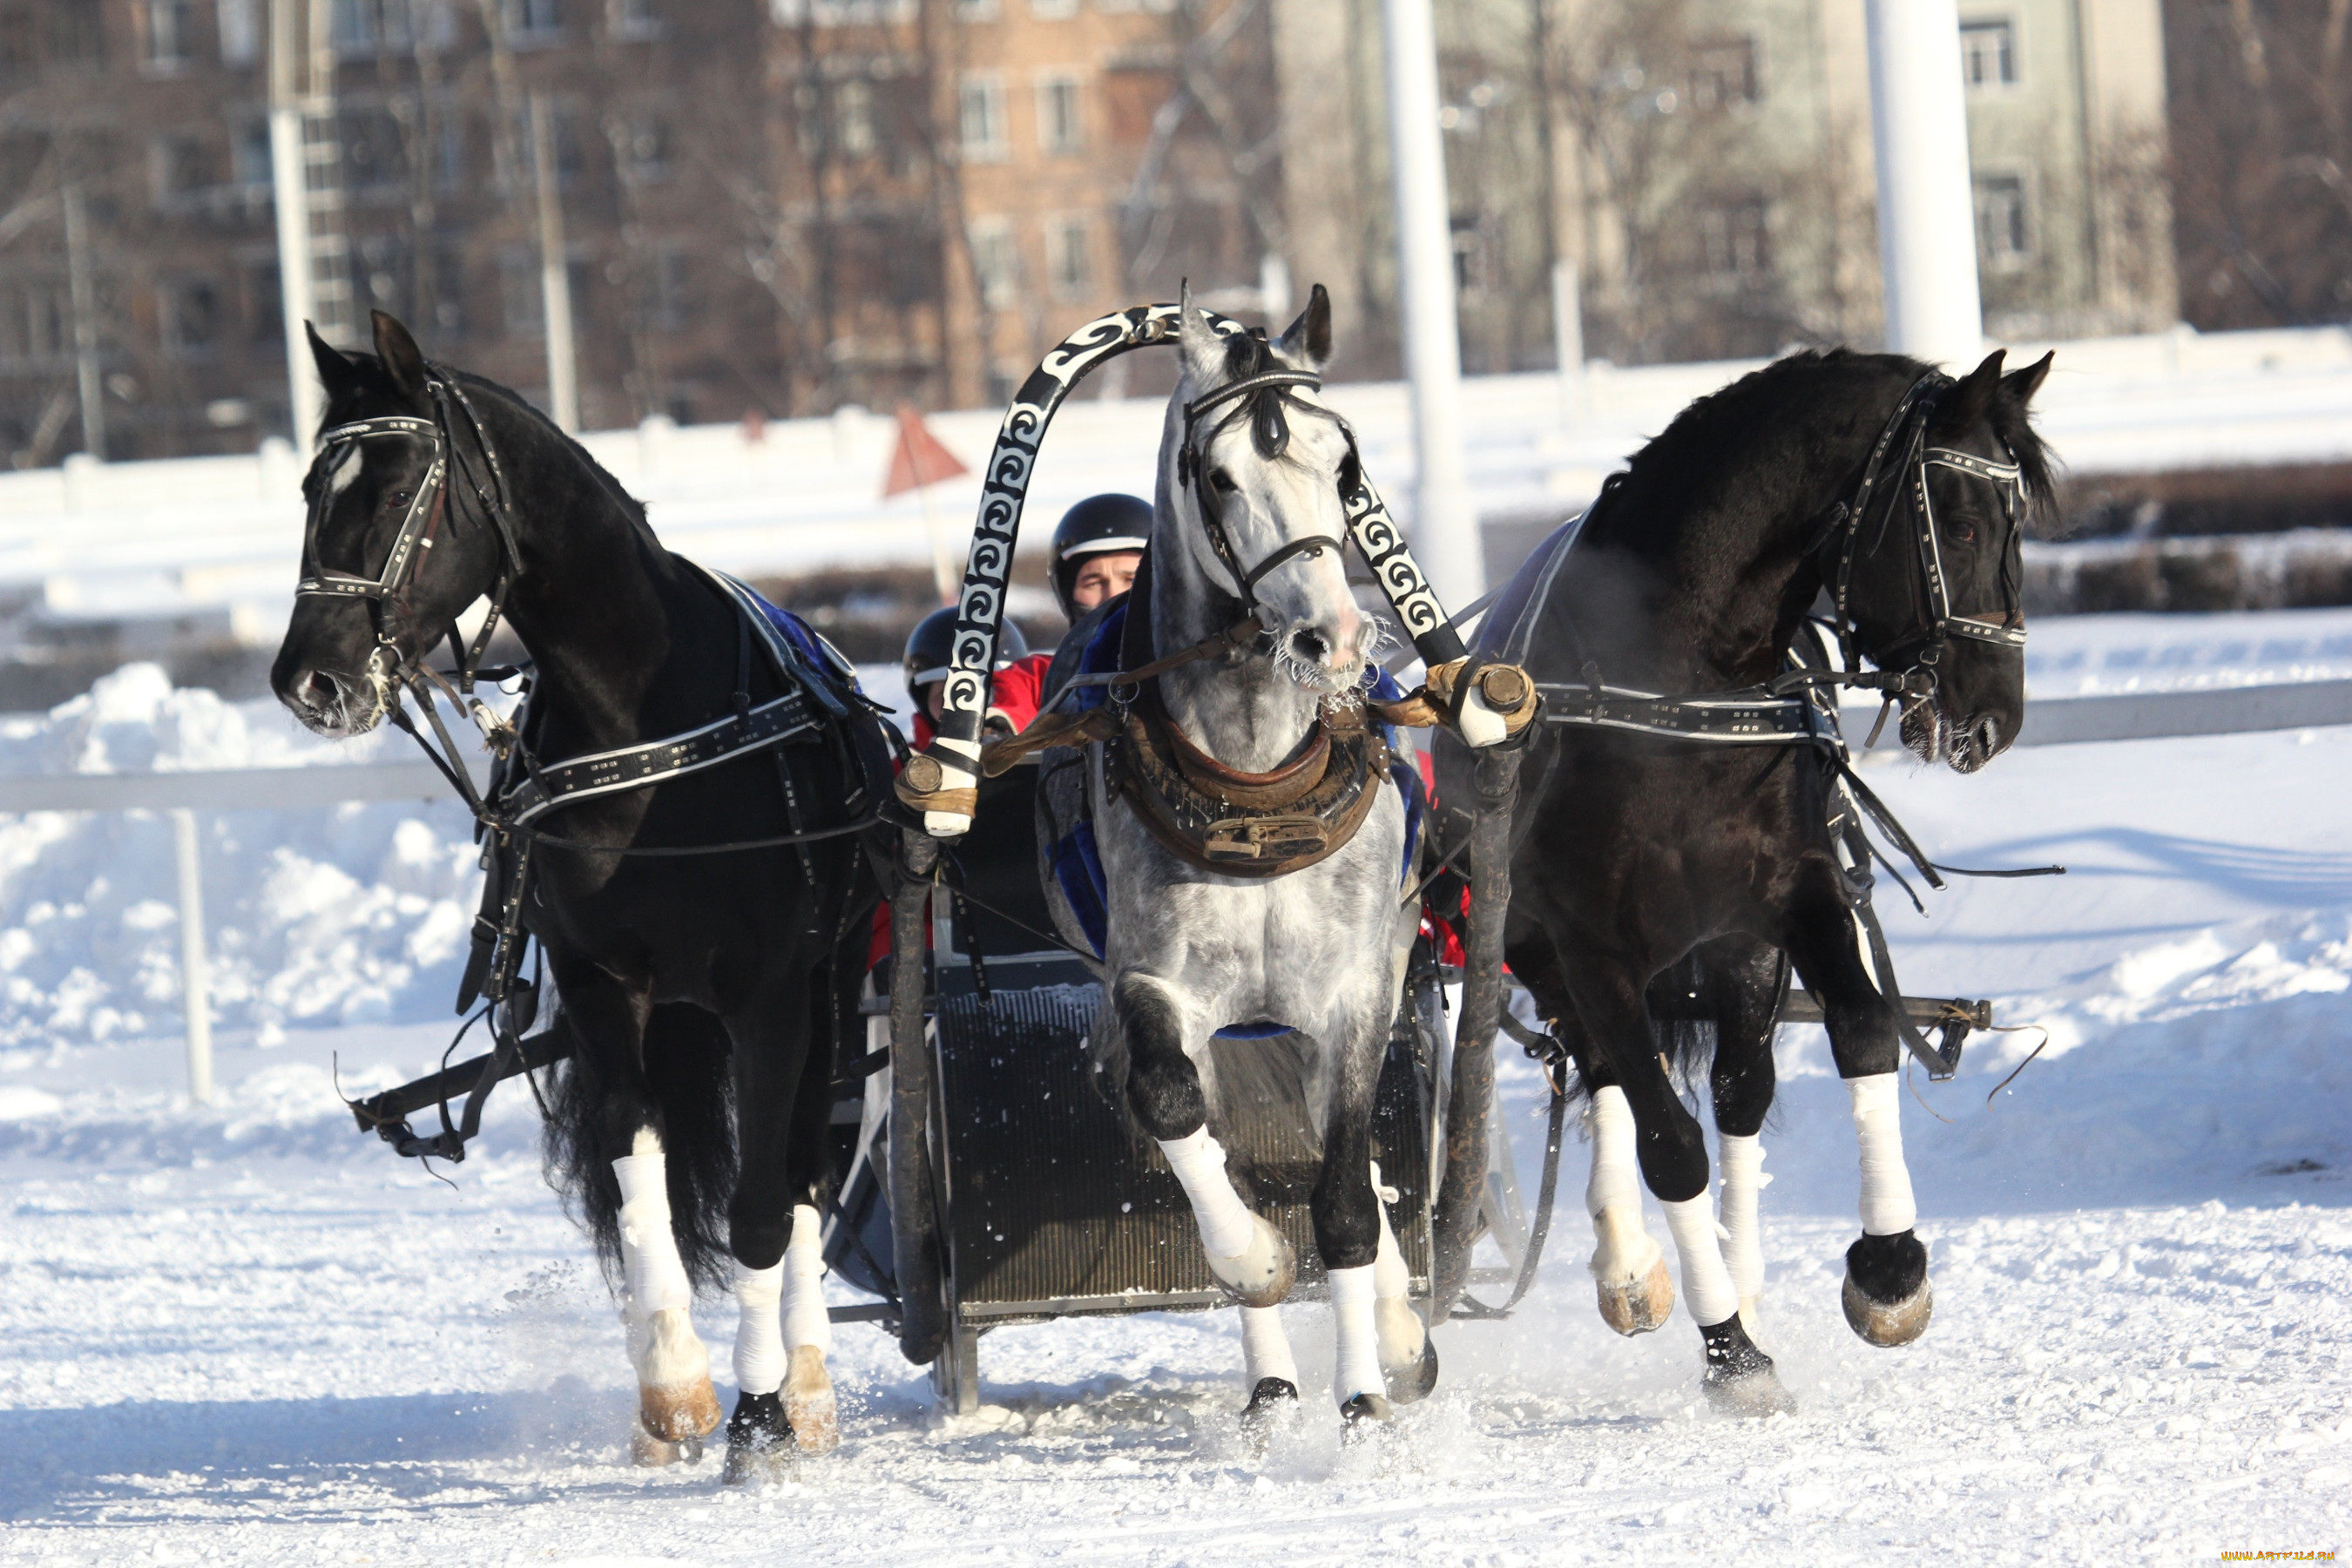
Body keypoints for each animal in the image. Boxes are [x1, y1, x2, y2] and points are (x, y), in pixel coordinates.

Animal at [269, 312, 889, 1476]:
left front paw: (760, 1413)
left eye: (394, 488)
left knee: (802, 1173)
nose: (308, 681)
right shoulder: (606, 987)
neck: (644, 723)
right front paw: (675, 1394)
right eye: (311, 488)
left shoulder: (772, 997)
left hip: (832, 998)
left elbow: (759, 1209)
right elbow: (638, 1169)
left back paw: (806, 1381)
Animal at [1439, 352, 2051, 1410]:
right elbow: (1666, 1139)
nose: (1994, 719)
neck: (1679, 682)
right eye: (1966, 524)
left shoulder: (1790, 899)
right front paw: (1729, 1349)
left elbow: (1857, 1031)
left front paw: (1888, 1268)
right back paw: (1639, 1268)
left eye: (2023, 523)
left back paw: (1734, 1274)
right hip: (1534, 948)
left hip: (1732, 955)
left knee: (1732, 1091)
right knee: (1609, 1072)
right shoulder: (1590, 945)